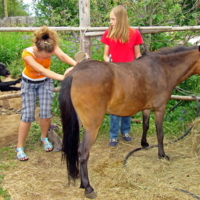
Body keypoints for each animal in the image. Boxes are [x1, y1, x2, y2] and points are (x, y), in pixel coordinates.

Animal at [58, 45, 200, 198]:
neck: (162, 68)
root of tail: (75, 73)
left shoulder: (147, 108)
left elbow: (145, 125)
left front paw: (144, 144)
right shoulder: (159, 108)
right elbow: (160, 133)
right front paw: (162, 155)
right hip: (92, 126)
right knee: (83, 152)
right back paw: (88, 188)